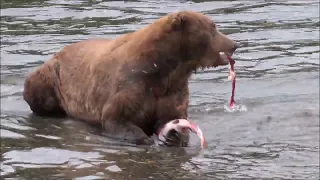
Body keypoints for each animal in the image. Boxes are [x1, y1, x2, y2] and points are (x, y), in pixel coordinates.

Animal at [23, 10, 238, 146]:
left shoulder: (172, 88)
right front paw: (145, 138)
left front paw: (174, 136)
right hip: (52, 76)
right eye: (213, 27)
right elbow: (116, 117)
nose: (234, 44)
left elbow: (174, 115)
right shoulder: (131, 84)